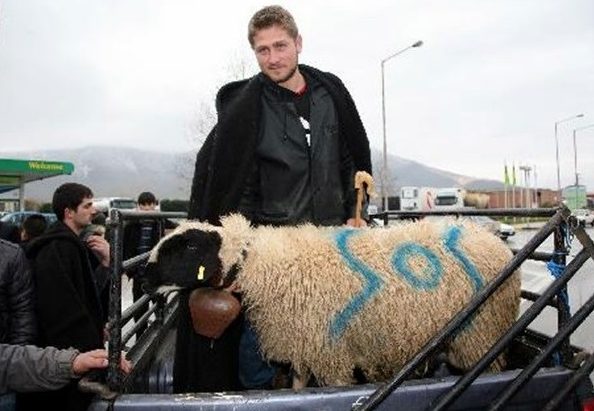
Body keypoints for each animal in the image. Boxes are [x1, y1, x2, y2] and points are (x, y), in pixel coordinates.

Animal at [147, 216, 520, 390]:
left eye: (188, 246)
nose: (145, 273)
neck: (261, 264)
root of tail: (493, 240)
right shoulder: (304, 340)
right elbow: (298, 383)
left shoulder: (331, 351)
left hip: (481, 332)